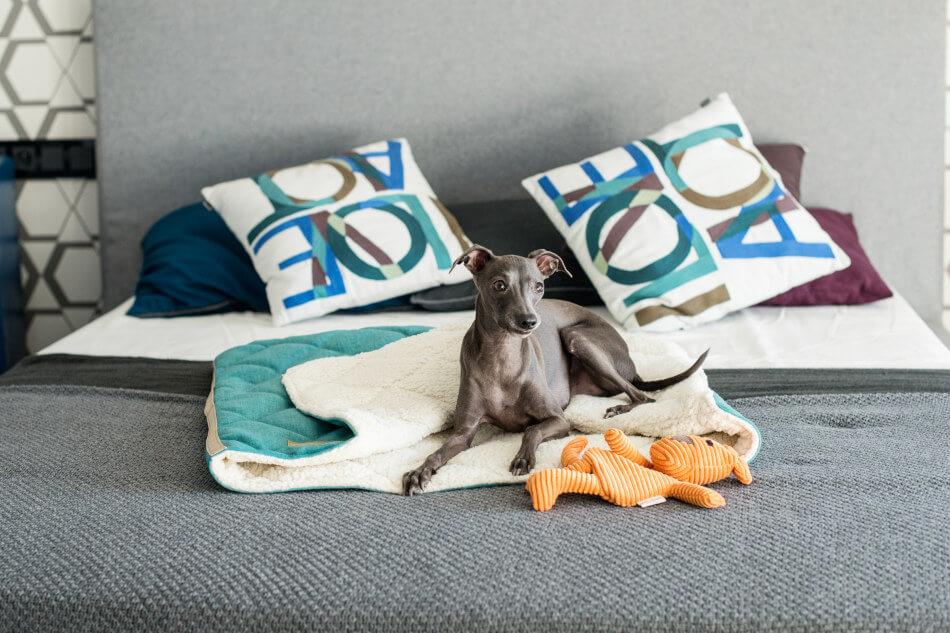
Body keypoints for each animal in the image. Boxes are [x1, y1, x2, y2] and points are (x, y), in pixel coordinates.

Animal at [402, 244, 708, 496]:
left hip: (578, 338)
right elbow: (437, 452)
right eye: (499, 285)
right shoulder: (463, 432)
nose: (529, 321)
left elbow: (532, 431)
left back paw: (618, 409)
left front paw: (523, 458)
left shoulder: (559, 419)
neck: (502, 355)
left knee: (641, 396)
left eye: (538, 286)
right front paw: (419, 472)